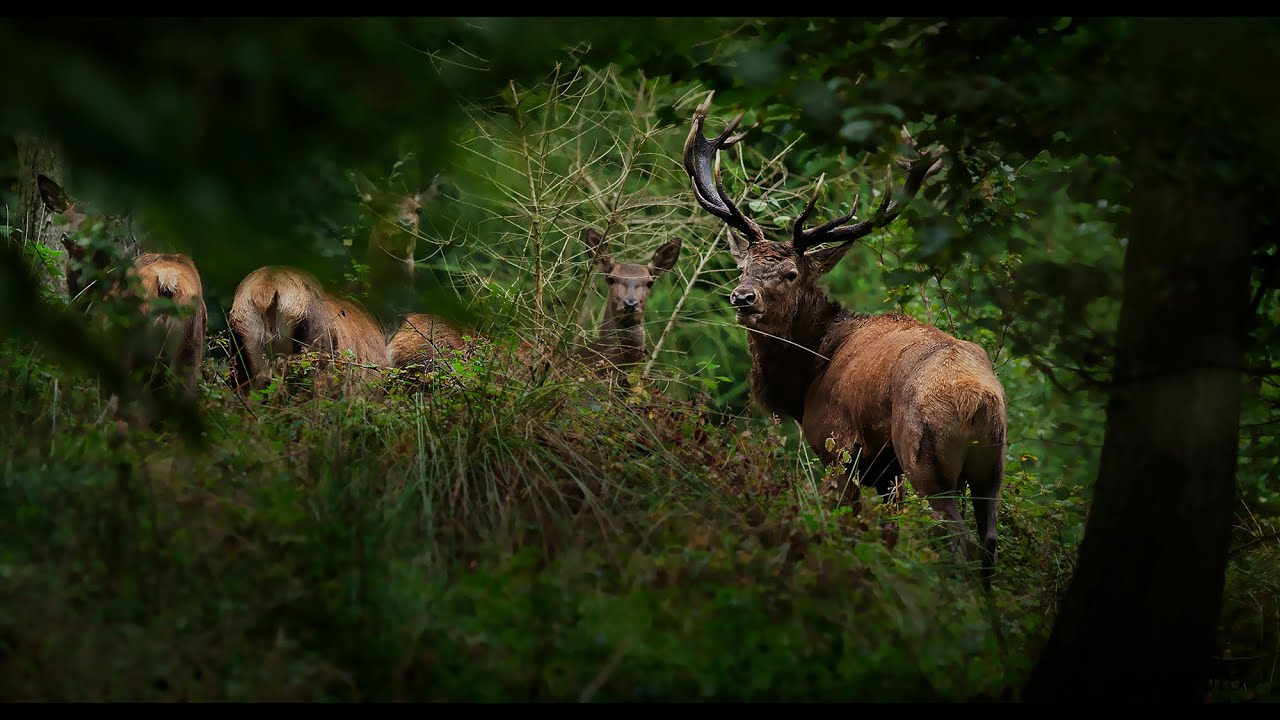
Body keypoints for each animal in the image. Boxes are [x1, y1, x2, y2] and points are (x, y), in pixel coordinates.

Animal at [37, 174, 208, 402]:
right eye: (65, 215)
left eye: (99, 221)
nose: (70, 237)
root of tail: (167, 282)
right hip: (190, 353)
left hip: (129, 344)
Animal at [682, 93, 1008, 586]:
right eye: (743, 267)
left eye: (790, 273)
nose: (742, 297)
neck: (807, 376)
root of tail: (978, 401)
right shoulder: (886, 473)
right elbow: (887, 532)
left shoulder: (840, 445)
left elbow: (846, 526)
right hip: (993, 467)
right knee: (989, 542)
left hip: (926, 460)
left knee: (962, 544)